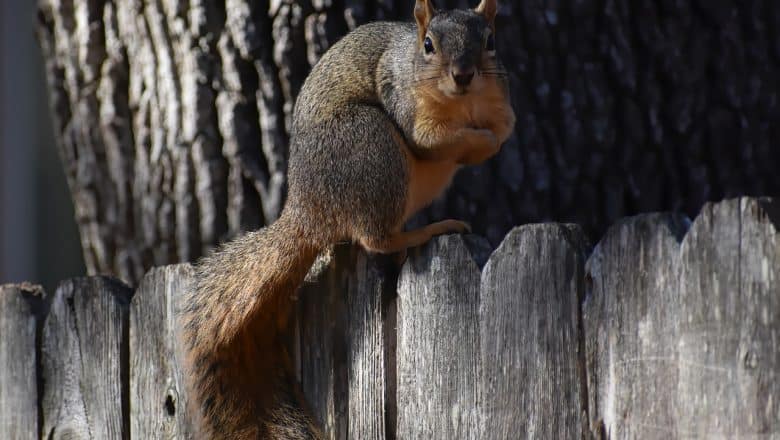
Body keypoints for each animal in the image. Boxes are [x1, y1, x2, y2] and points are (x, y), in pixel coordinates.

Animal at [180, 1, 516, 438]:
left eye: (491, 41)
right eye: (428, 45)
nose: (463, 75)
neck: (463, 105)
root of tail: (308, 210)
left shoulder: (498, 99)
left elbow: (504, 128)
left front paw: (490, 141)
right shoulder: (403, 101)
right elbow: (430, 141)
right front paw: (480, 141)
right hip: (371, 143)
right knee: (376, 238)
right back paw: (431, 229)